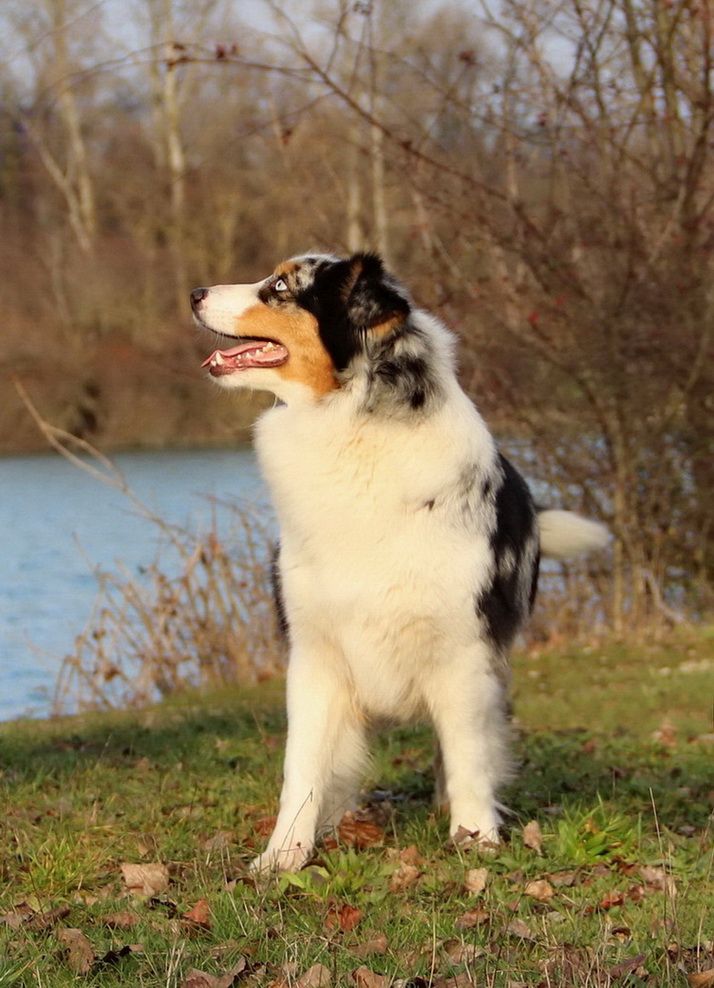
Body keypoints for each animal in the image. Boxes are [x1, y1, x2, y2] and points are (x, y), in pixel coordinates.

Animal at [192, 253, 608, 872]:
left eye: (281, 287)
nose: (194, 293)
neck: (354, 432)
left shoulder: (463, 652)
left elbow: (467, 752)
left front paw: (475, 837)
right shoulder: (314, 651)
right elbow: (301, 764)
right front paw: (284, 854)